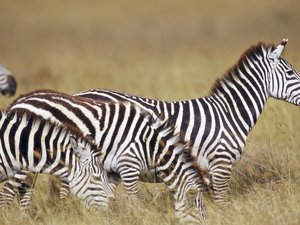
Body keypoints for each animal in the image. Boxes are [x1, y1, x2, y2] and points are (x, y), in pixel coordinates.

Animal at [73, 38, 300, 204]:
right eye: (290, 72)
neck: (229, 113)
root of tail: (79, 94)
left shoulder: (206, 171)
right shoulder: (221, 162)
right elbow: (222, 202)